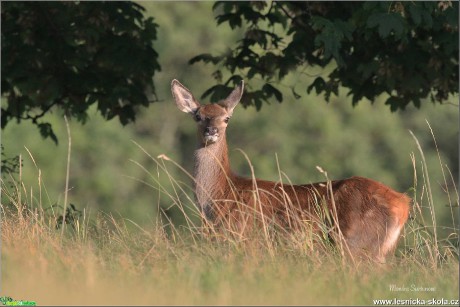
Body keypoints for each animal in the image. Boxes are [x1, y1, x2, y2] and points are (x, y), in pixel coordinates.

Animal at [172, 79, 410, 262]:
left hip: (356, 243)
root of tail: (402, 204)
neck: (220, 195)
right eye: (198, 116)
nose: (211, 130)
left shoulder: (242, 237)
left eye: (226, 118)